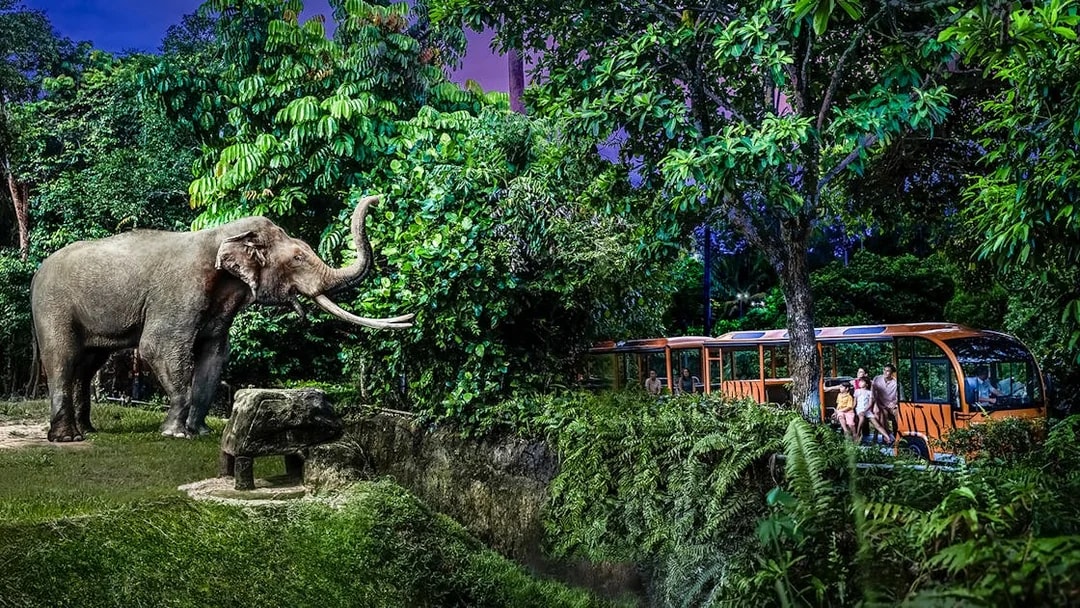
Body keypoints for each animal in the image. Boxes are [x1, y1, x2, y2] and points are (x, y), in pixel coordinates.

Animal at [30, 195, 412, 442]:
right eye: (299, 258)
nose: (378, 199)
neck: (220, 233)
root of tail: (37, 273)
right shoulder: (179, 290)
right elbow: (157, 348)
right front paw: (175, 434)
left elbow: (215, 355)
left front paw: (199, 432)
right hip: (52, 306)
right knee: (63, 358)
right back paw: (67, 439)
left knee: (88, 364)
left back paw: (88, 431)